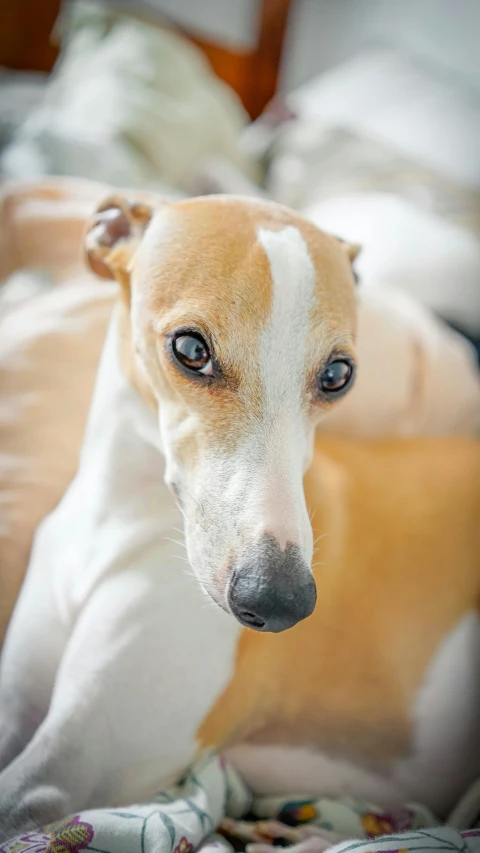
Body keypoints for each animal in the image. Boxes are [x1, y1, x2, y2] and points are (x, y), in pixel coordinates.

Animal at [0, 191, 478, 840]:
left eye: (337, 375)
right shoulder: (18, 711)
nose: (278, 603)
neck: (116, 519)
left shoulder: (66, 770)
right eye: (190, 349)